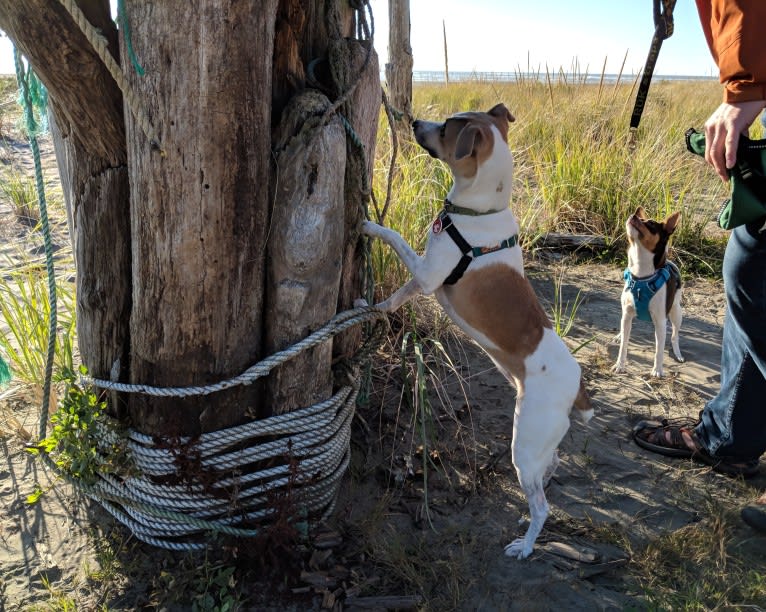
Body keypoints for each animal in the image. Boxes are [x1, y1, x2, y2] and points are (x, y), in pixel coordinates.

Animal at [360, 104, 592, 560]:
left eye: (448, 128)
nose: (414, 122)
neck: (479, 214)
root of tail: (576, 385)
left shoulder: (429, 274)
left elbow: (395, 238)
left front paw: (368, 226)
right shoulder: (424, 280)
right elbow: (395, 298)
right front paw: (374, 308)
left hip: (524, 442)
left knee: (542, 504)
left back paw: (525, 544)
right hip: (540, 444)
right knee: (550, 470)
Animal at [616, 208, 688, 376]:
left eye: (651, 224)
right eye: (639, 217)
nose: (632, 215)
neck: (641, 276)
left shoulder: (661, 322)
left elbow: (659, 350)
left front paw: (657, 370)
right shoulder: (627, 315)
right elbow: (623, 345)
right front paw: (620, 364)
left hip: (676, 313)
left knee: (674, 336)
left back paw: (678, 353)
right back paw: (619, 335)